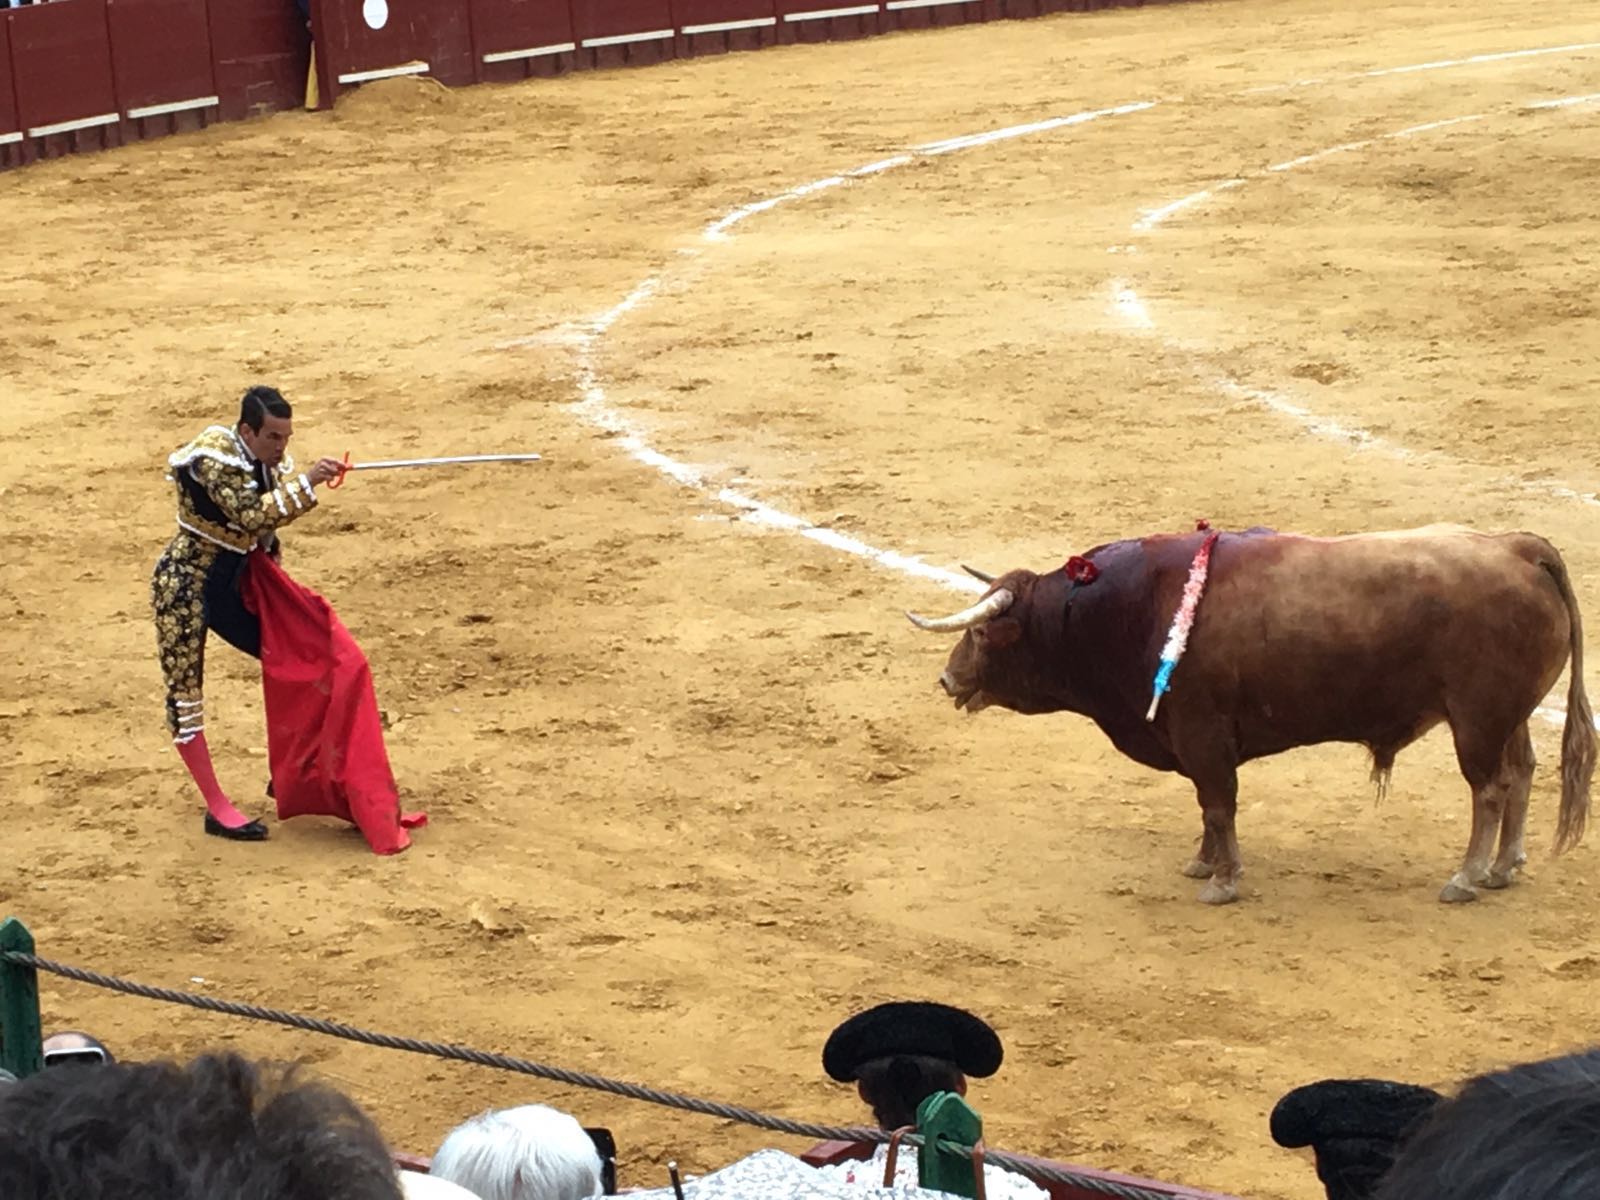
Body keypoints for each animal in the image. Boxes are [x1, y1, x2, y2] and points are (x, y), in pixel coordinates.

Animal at [908, 521, 1593, 908]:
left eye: (984, 634)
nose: (947, 678)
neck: (1125, 609)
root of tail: (1519, 548)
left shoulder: (1201, 733)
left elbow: (1218, 803)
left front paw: (1222, 882)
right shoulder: (1192, 741)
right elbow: (1208, 808)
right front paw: (1202, 862)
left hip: (1477, 718)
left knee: (1489, 789)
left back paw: (1467, 877)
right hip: (1509, 716)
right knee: (1522, 774)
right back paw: (1504, 868)